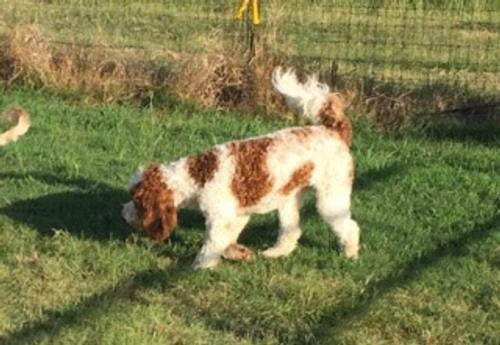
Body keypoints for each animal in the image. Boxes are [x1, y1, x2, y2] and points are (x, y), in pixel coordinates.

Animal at [123, 66, 362, 266]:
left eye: (137, 201)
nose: (123, 212)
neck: (197, 175)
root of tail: (333, 130)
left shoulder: (220, 219)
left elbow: (210, 247)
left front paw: (199, 268)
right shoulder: (236, 216)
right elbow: (226, 242)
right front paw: (238, 253)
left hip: (331, 197)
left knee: (349, 227)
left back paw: (350, 253)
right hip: (289, 197)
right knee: (291, 232)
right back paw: (275, 253)